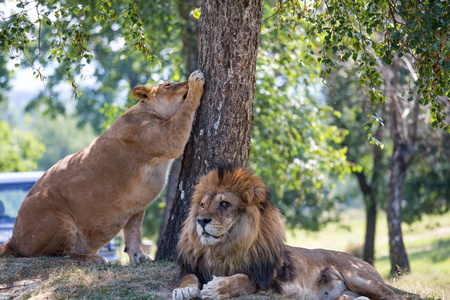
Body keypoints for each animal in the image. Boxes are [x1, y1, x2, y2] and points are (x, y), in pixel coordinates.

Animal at [0, 71, 205, 268]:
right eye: (168, 85)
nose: (184, 81)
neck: (148, 110)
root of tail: (13, 239)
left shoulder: (136, 207)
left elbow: (134, 234)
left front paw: (140, 257)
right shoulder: (166, 138)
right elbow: (186, 110)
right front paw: (195, 80)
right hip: (58, 221)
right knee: (64, 255)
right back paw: (94, 259)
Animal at [173, 166, 414, 300]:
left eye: (224, 204)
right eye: (203, 205)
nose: (201, 221)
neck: (221, 250)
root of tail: (361, 261)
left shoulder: (269, 281)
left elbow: (243, 280)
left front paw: (216, 288)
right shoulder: (194, 265)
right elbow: (188, 276)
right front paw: (184, 290)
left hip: (360, 277)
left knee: (396, 298)